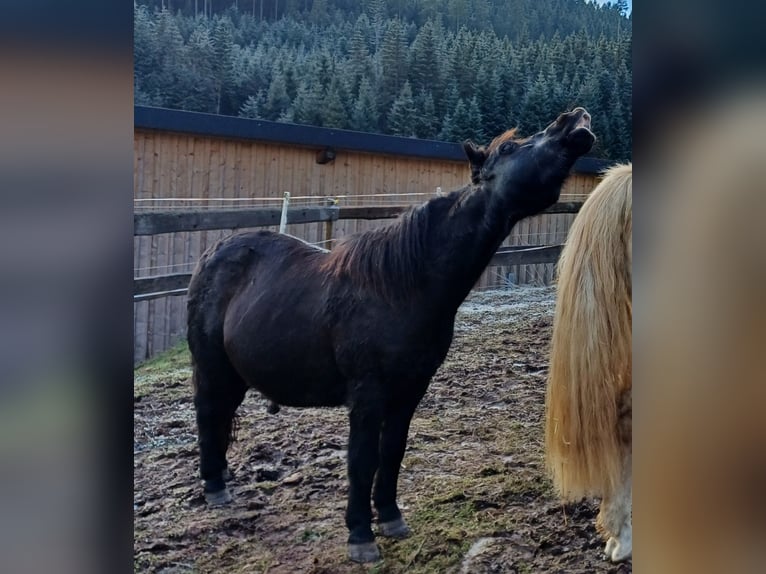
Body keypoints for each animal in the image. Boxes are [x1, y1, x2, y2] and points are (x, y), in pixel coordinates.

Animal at [187, 107, 595, 563]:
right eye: (508, 148)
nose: (574, 120)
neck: (403, 287)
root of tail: (214, 252)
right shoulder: (368, 395)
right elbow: (362, 460)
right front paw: (360, 535)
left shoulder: (410, 390)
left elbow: (392, 452)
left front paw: (390, 517)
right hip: (212, 366)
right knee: (208, 411)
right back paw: (215, 487)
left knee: (222, 415)